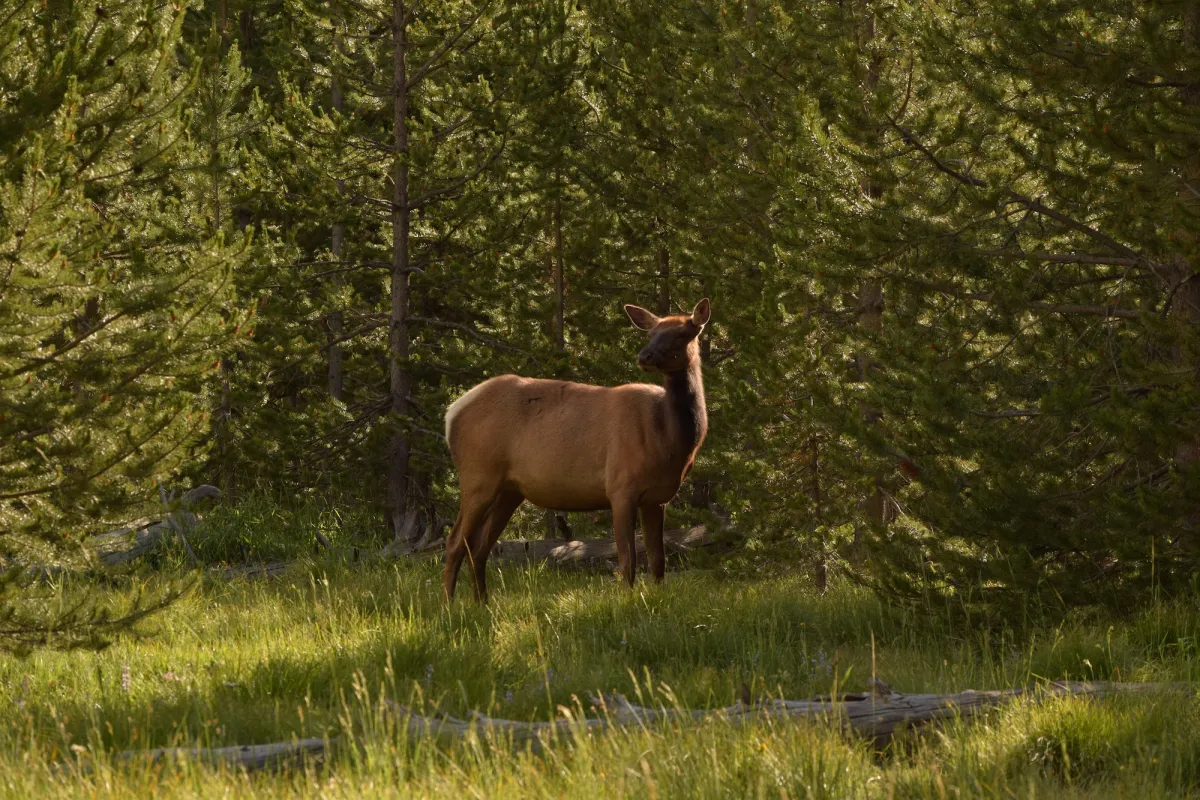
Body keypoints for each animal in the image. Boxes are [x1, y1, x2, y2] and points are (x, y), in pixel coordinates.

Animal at [448, 298, 710, 599]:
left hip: (508, 490)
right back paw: (449, 605)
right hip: (478, 476)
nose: (644, 356)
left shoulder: (658, 498)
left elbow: (658, 562)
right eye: (651, 333)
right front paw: (627, 601)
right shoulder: (621, 486)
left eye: (683, 333)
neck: (669, 440)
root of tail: (451, 413)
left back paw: (482, 603)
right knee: (454, 543)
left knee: (479, 549)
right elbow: (628, 560)